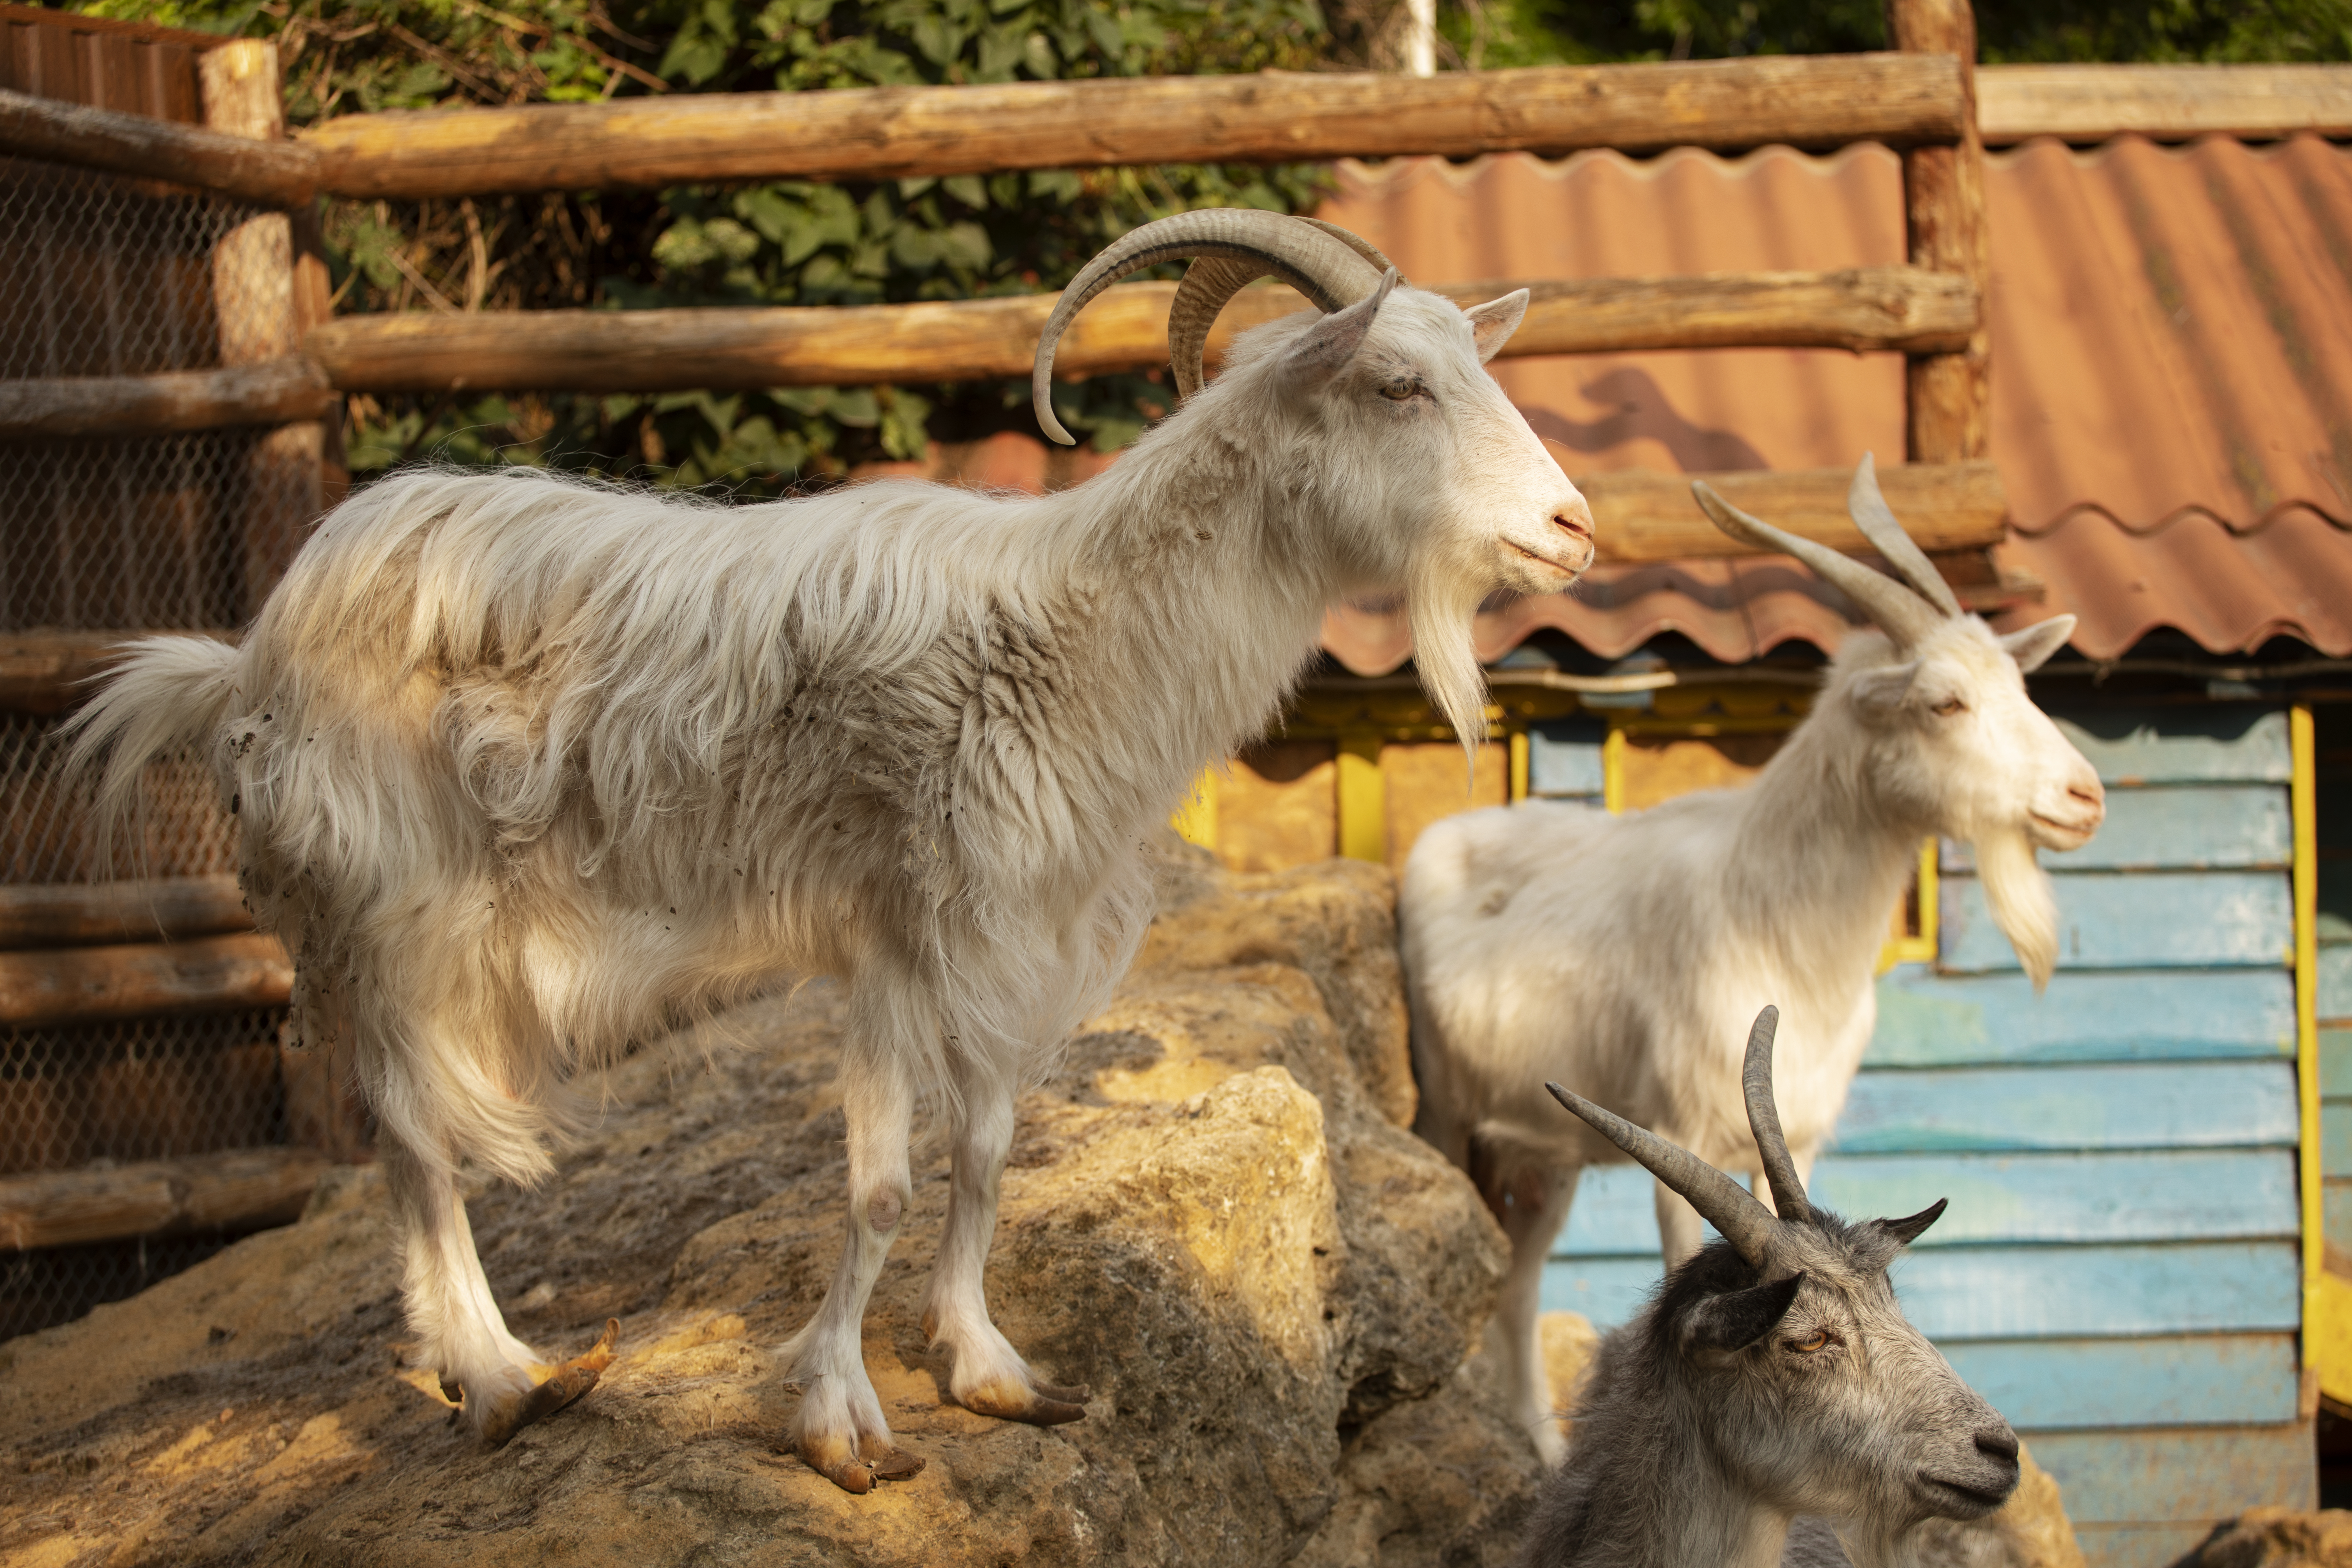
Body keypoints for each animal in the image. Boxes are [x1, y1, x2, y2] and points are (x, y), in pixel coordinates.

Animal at [65, 208, 1593, 1493]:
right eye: (1397, 383)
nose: (1572, 528)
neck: (1075, 630)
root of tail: (248, 656)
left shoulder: (996, 932)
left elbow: (984, 1147)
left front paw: (988, 1367)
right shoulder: (899, 923)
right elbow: (878, 1182)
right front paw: (840, 1421)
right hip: (387, 895)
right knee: (411, 1125)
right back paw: (504, 1378)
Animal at [1400, 458, 2103, 1464]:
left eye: (2020, 685)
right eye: (1945, 701)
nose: (2081, 798)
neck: (1774, 925)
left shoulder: (1796, 1138)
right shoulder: (1679, 1134)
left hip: (1542, 1153)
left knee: (1519, 1278)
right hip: (1447, 1111)